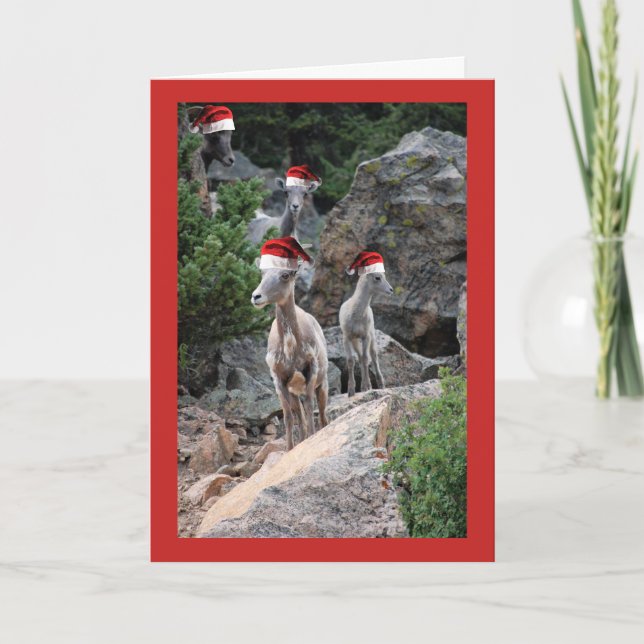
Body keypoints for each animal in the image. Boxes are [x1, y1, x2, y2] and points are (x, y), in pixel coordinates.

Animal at [251, 238, 328, 450]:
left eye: (285, 275)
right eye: (262, 273)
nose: (256, 296)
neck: (290, 347)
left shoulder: (310, 371)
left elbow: (310, 409)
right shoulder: (280, 380)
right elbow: (288, 417)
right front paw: (290, 449)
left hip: (322, 385)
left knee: (322, 416)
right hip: (294, 393)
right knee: (299, 416)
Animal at [339, 252, 394, 397]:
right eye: (377, 277)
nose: (391, 290)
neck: (356, 314)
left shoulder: (365, 336)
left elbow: (365, 359)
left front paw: (366, 386)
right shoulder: (347, 338)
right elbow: (351, 361)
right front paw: (351, 391)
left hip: (372, 336)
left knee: (373, 357)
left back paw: (380, 384)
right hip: (355, 341)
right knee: (359, 357)